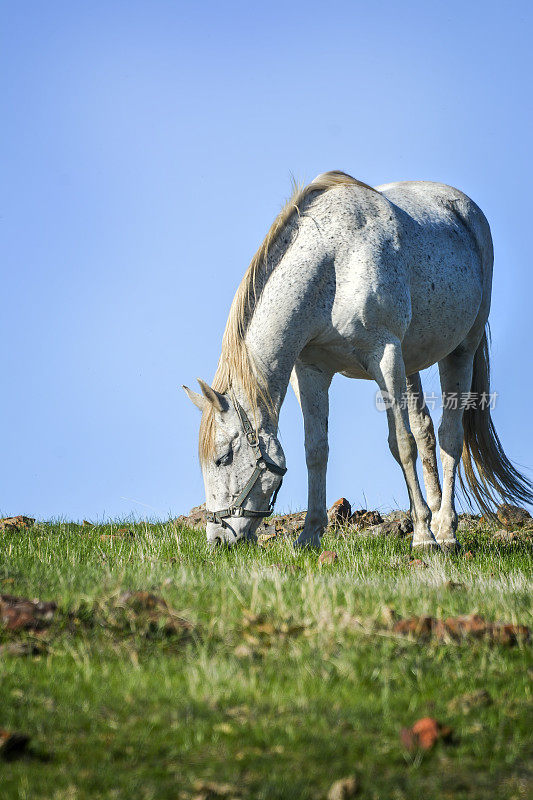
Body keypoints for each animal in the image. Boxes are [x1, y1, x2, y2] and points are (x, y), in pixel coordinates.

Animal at [184, 171, 532, 552]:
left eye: (223, 458)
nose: (217, 539)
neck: (334, 263)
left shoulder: (384, 355)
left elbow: (401, 443)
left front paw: (422, 536)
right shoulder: (311, 371)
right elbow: (316, 449)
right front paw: (310, 535)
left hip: (460, 351)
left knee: (449, 436)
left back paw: (444, 530)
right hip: (411, 364)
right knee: (426, 433)